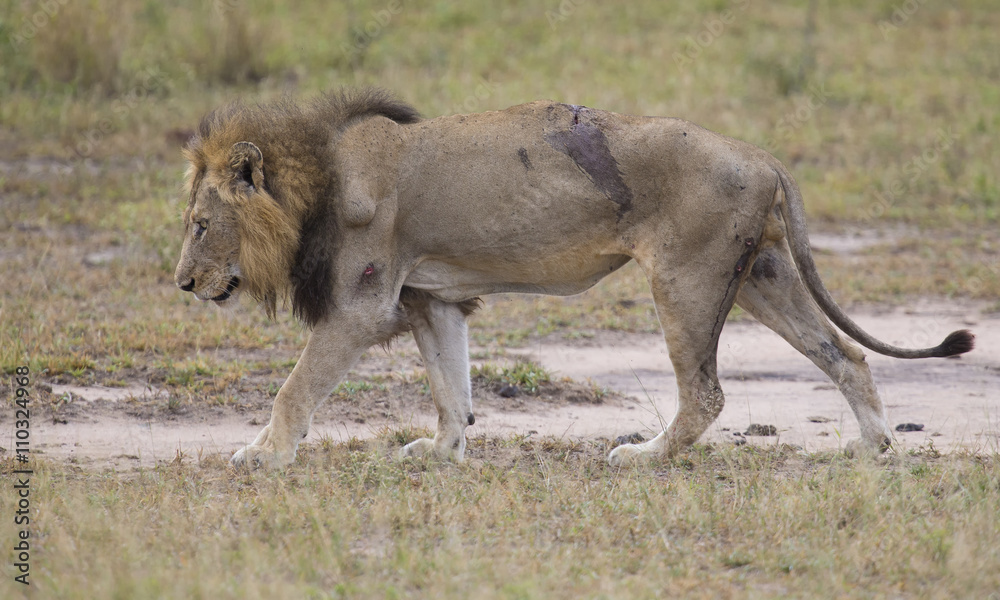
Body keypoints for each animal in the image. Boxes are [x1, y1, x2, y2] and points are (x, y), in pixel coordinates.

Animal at [173, 88, 974, 469]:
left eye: (200, 225)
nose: (181, 284)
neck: (316, 180)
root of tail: (761, 153)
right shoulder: (431, 299)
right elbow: (450, 389)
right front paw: (442, 452)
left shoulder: (362, 305)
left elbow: (295, 387)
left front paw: (261, 454)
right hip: (761, 276)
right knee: (846, 356)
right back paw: (871, 448)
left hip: (685, 279)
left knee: (706, 394)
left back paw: (643, 457)